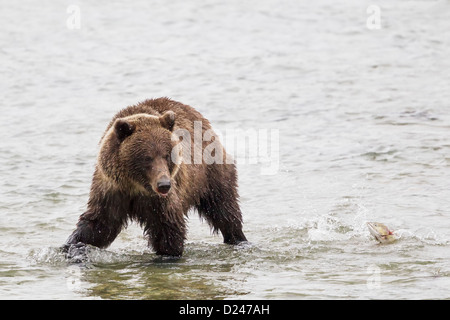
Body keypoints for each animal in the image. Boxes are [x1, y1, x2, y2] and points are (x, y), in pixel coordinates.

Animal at [64, 96, 246, 256]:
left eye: (166, 155)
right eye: (147, 157)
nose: (164, 184)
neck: (135, 186)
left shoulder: (159, 200)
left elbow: (168, 229)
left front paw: (166, 256)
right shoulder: (111, 191)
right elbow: (99, 225)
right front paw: (73, 245)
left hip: (210, 173)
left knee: (224, 208)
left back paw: (238, 239)